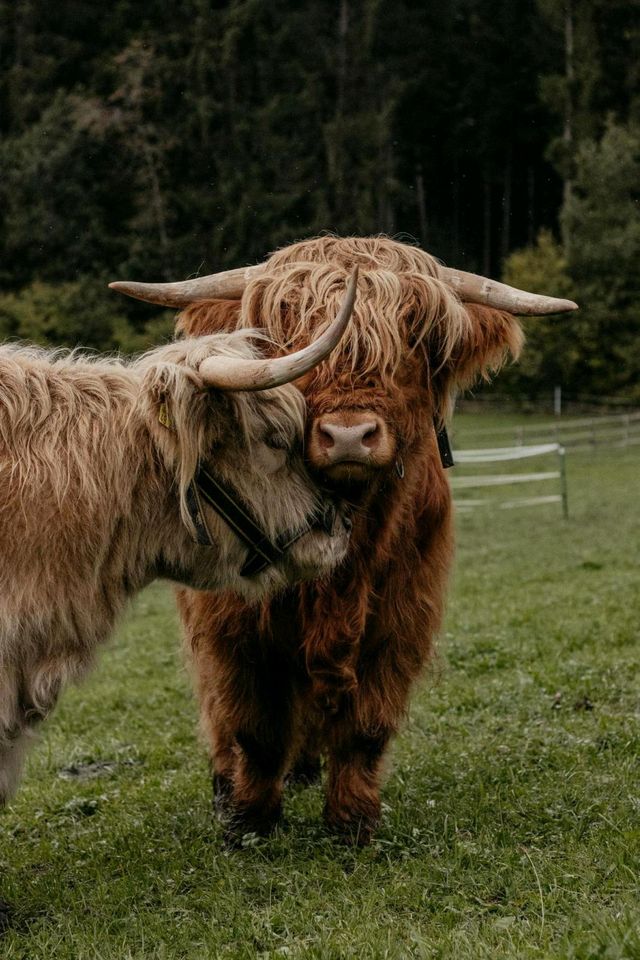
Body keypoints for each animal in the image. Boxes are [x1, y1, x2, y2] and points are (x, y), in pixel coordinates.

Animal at [112, 236, 576, 844]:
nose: (350, 436)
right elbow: (253, 723)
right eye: (286, 330)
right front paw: (249, 819)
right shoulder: (233, 625)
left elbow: (367, 725)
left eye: (415, 336)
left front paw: (353, 820)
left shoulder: (403, 615)